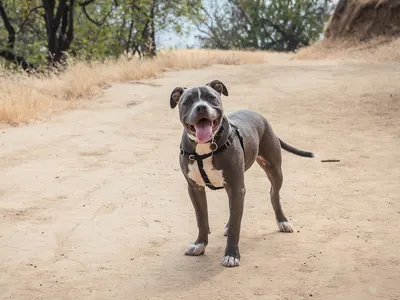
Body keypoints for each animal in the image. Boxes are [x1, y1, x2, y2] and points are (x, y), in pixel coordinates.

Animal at [170, 79, 314, 268]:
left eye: (211, 97)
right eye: (187, 101)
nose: (201, 107)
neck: (206, 147)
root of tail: (258, 115)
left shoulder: (236, 187)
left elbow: (235, 226)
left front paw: (231, 255)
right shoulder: (195, 188)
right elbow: (201, 218)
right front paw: (200, 244)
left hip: (274, 169)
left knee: (273, 194)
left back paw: (282, 221)